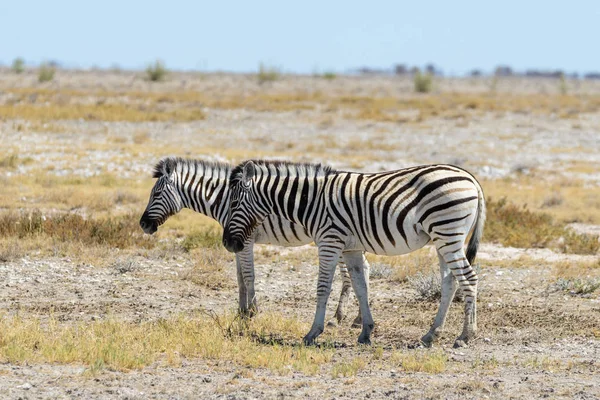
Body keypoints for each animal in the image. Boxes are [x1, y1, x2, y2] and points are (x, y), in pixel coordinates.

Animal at [139, 156, 366, 324]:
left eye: (156, 194)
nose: (142, 224)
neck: (225, 200)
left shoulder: (245, 240)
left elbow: (249, 276)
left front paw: (253, 312)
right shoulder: (236, 241)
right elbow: (240, 278)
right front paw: (241, 311)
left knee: (350, 274)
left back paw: (338, 317)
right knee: (363, 269)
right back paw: (358, 318)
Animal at [223, 159, 486, 346]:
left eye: (233, 204)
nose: (228, 243)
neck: (310, 202)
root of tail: (471, 178)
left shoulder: (329, 242)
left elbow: (323, 288)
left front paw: (313, 333)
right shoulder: (351, 248)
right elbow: (361, 288)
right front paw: (366, 332)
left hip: (448, 232)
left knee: (469, 279)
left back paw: (465, 336)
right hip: (444, 239)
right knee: (450, 282)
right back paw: (432, 334)